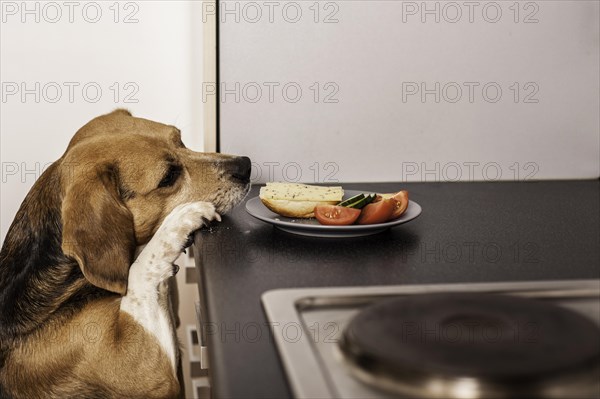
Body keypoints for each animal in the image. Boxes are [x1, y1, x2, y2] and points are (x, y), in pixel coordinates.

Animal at [0, 109, 251, 399]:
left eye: (180, 140)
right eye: (168, 177)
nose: (245, 165)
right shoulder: (143, 366)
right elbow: (139, 270)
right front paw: (178, 222)